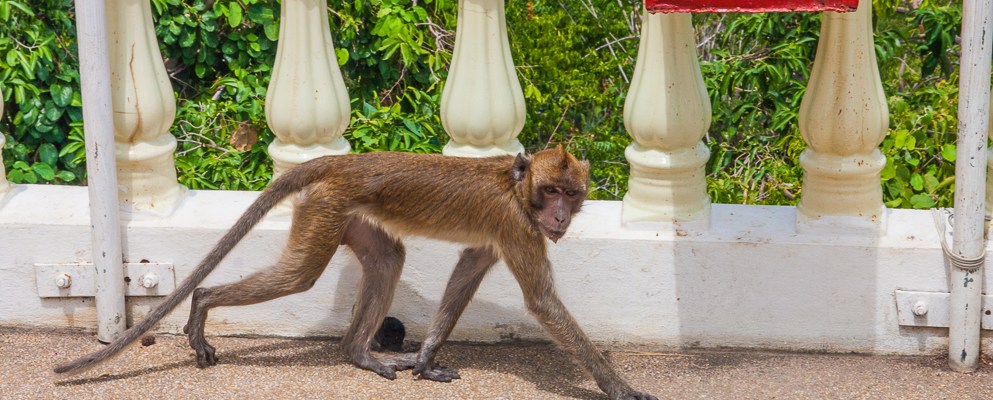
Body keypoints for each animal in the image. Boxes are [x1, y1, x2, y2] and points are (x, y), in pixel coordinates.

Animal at [54, 145, 656, 400]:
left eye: (571, 194)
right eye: (550, 191)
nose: (559, 216)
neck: (518, 188)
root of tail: (344, 161)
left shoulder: (505, 234)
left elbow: (467, 272)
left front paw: (425, 359)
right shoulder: (519, 226)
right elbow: (542, 302)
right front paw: (619, 387)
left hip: (343, 213)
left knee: (388, 260)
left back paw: (357, 352)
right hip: (326, 208)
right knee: (299, 276)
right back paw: (202, 302)